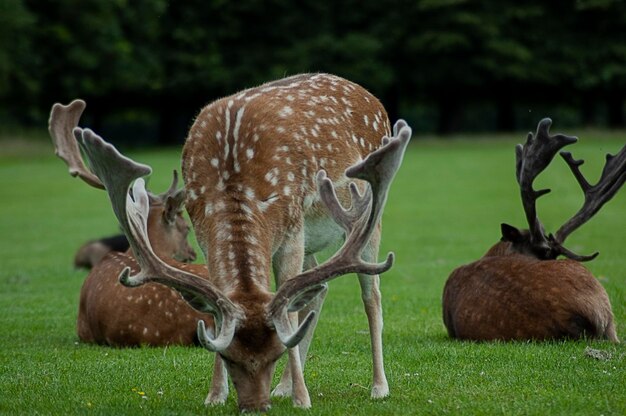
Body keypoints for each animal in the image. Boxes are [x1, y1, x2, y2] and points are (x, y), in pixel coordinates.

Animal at [70, 73, 410, 412]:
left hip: (367, 217)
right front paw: (215, 395)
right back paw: (283, 387)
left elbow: (289, 317)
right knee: (318, 290)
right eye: (227, 356)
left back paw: (378, 387)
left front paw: (303, 398)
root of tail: (369, 95)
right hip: (314, 243)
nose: (255, 406)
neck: (235, 180)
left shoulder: (292, 230)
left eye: (275, 353)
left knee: (371, 294)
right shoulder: (205, 236)